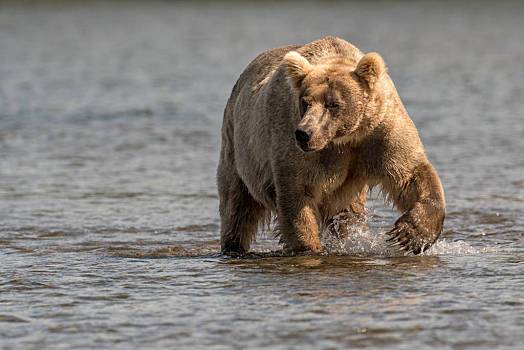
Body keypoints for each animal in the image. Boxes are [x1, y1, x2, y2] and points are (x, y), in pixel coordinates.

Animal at [217, 34, 446, 254]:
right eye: (305, 102)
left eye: (333, 104)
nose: (304, 133)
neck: (344, 138)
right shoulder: (295, 146)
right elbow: (298, 194)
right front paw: (310, 247)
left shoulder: (380, 131)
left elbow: (410, 173)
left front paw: (412, 235)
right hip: (239, 150)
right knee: (237, 206)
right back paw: (233, 244)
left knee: (347, 214)